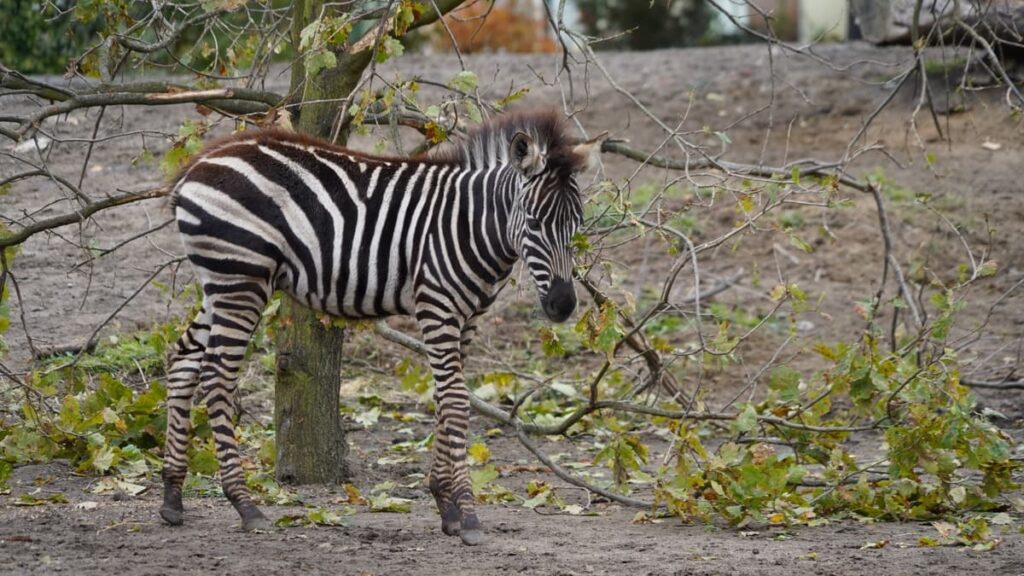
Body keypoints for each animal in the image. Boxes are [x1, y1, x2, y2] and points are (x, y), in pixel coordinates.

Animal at [160, 109, 601, 545]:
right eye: (534, 222)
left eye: (577, 222)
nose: (563, 305)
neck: (472, 227)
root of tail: (199, 164)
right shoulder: (437, 308)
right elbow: (457, 402)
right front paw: (468, 513)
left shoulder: (468, 319)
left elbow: (444, 399)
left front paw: (445, 505)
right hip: (241, 279)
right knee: (217, 376)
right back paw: (245, 505)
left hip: (220, 283)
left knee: (183, 360)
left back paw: (172, 498)